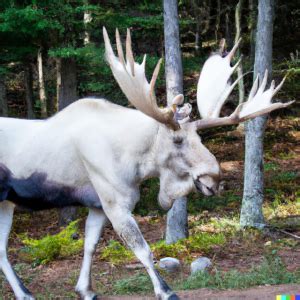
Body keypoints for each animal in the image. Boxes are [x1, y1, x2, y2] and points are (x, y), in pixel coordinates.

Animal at [0, 27, 292, 298]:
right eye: (177, 139)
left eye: (199, 137)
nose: (214, 178)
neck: (136, 160)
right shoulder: (117, 203)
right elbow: (142, 250)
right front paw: (165, 290)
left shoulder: (97, 205)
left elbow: (89, 245)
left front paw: (85, 289)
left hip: (6, 204)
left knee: (2, 250)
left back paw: (24, 292)